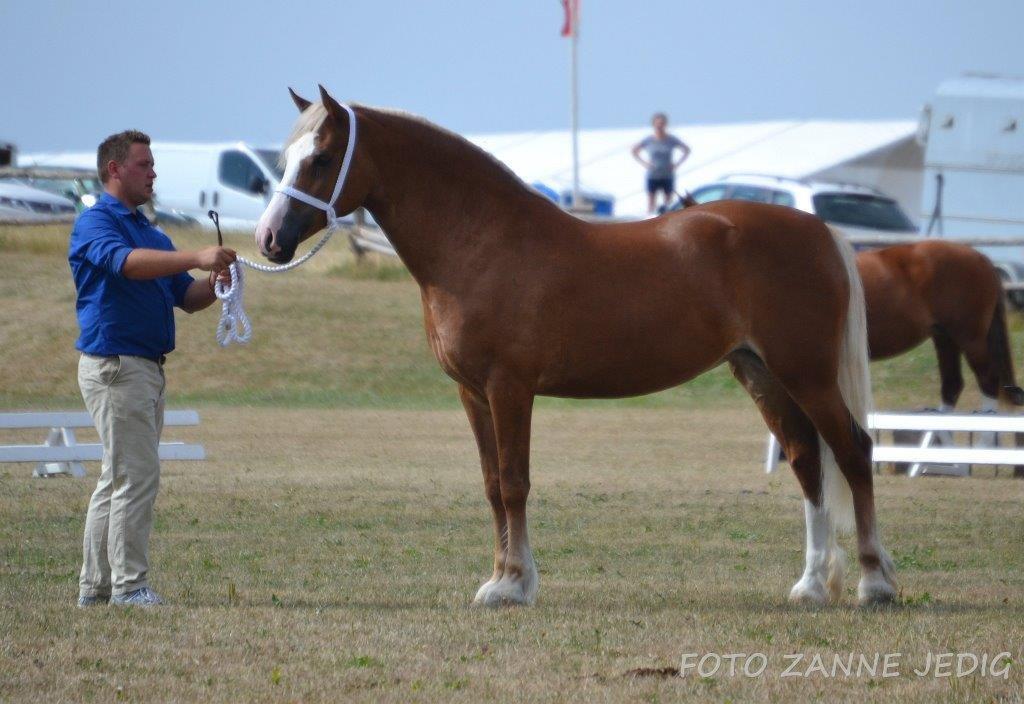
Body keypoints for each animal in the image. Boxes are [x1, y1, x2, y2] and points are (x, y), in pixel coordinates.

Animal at [253, 86, 897, 605]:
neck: (482, 242)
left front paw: (513, 586)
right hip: (760, 371)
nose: (269, 239)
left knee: (854, 451)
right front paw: (498, 579)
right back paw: (811, 586)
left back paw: (874, 584)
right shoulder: (471, 393)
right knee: (807, 459)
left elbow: (514, 482)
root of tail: (820, 230)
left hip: (807, 373)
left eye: (320, 159)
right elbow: (492, 485)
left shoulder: (509, 388)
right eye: (284, 160)